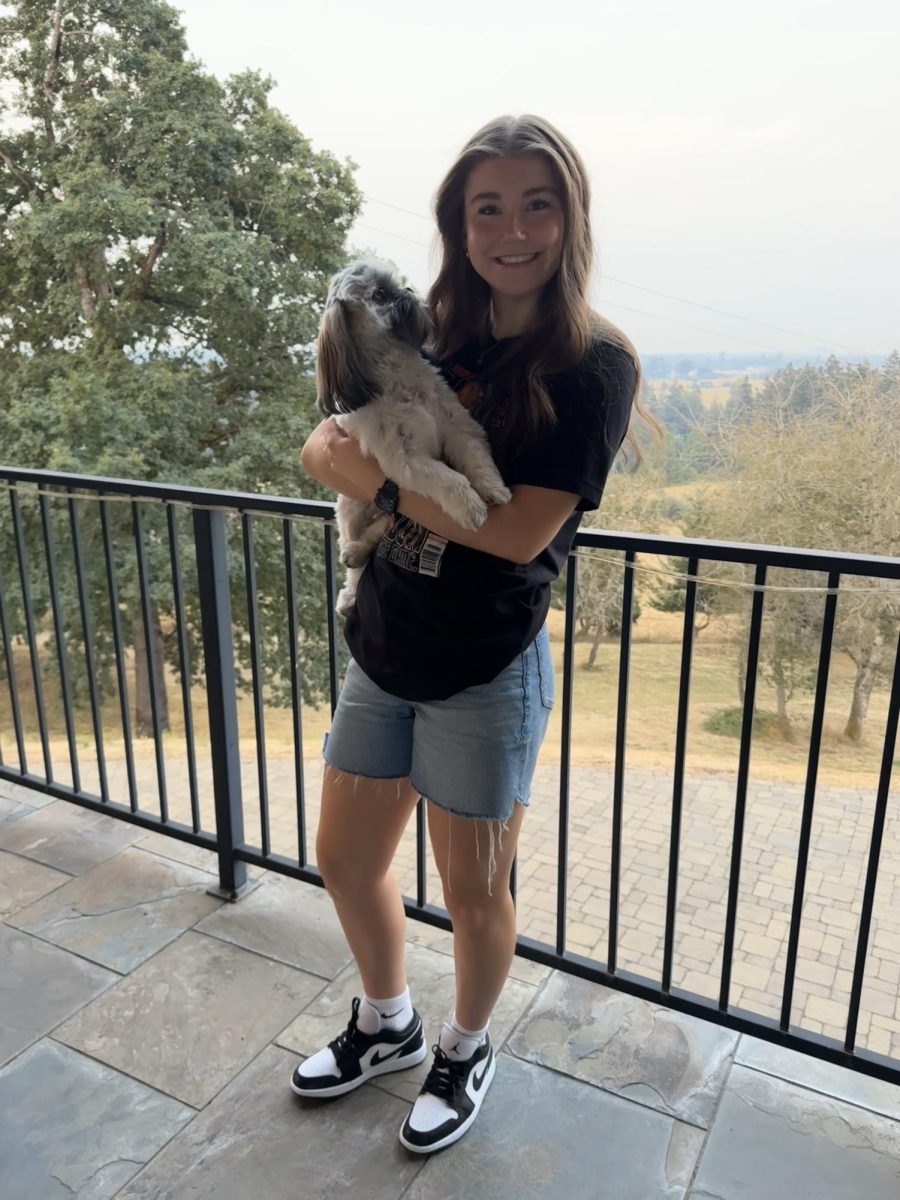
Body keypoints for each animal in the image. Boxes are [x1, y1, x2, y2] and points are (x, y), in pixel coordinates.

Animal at [316, 264, 511, 619]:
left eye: (395, 284)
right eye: (379, 294)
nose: (406, 290)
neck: (398, 373)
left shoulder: (457, 426)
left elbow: (476, 461)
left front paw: (493, 490)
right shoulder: (407, 460)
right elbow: (451, 480)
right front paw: (471, 507)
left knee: (384, 525)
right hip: (349, 506)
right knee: (356, 562)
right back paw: (351, 582)